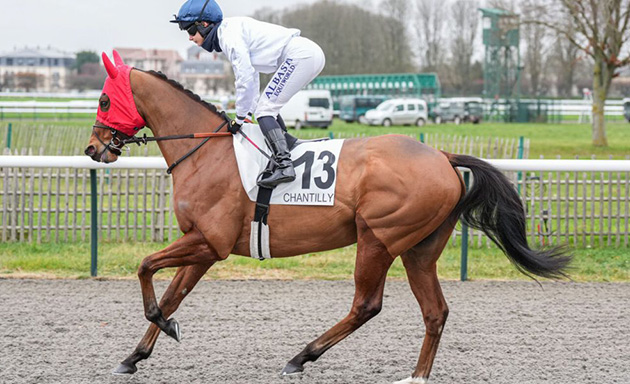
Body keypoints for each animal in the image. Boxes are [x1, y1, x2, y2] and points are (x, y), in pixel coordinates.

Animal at [84, 51, 572, 384]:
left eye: (105, 100)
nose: (93, 149)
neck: (205, 151)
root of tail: (443, 156)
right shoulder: (202, 245)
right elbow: (173, 295)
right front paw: (136, 354)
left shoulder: (211, 242)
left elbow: (146, 268)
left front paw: (160, 327)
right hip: (419, 250)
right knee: (435, 312)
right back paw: (416, 376)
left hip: (377, 238)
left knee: (367, 305)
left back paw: (301, 356)